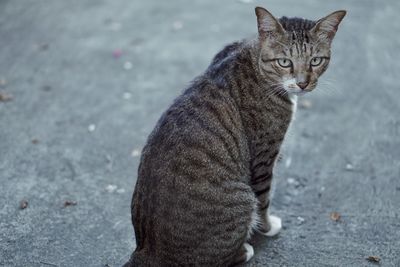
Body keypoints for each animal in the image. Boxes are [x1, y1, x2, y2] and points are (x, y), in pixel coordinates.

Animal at [123, 6, 346, 267]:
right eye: (284, 62)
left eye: (316, 61)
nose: (302, 84)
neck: (254, 58)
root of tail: (145, 252)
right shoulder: (263, 157)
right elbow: (264, 200)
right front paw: (268, 227)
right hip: (241, 198)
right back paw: (245, 250)